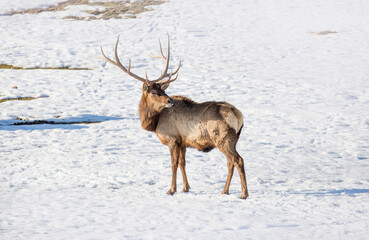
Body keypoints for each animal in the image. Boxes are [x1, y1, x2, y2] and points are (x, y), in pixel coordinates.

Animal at [99, 35, 249, 199]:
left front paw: (171, 189)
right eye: (154, 92)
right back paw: (225, 191)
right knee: (230, 163)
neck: (153, 123)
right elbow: (183, 163)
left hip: (222, 138)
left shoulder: (171, 139)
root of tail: (238, 115)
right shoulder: (182, 142)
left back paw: (243, 194)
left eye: (163, 91)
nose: (170, 100)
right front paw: (185, 188)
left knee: (238, 160)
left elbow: (173, 164)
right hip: (232, 140)